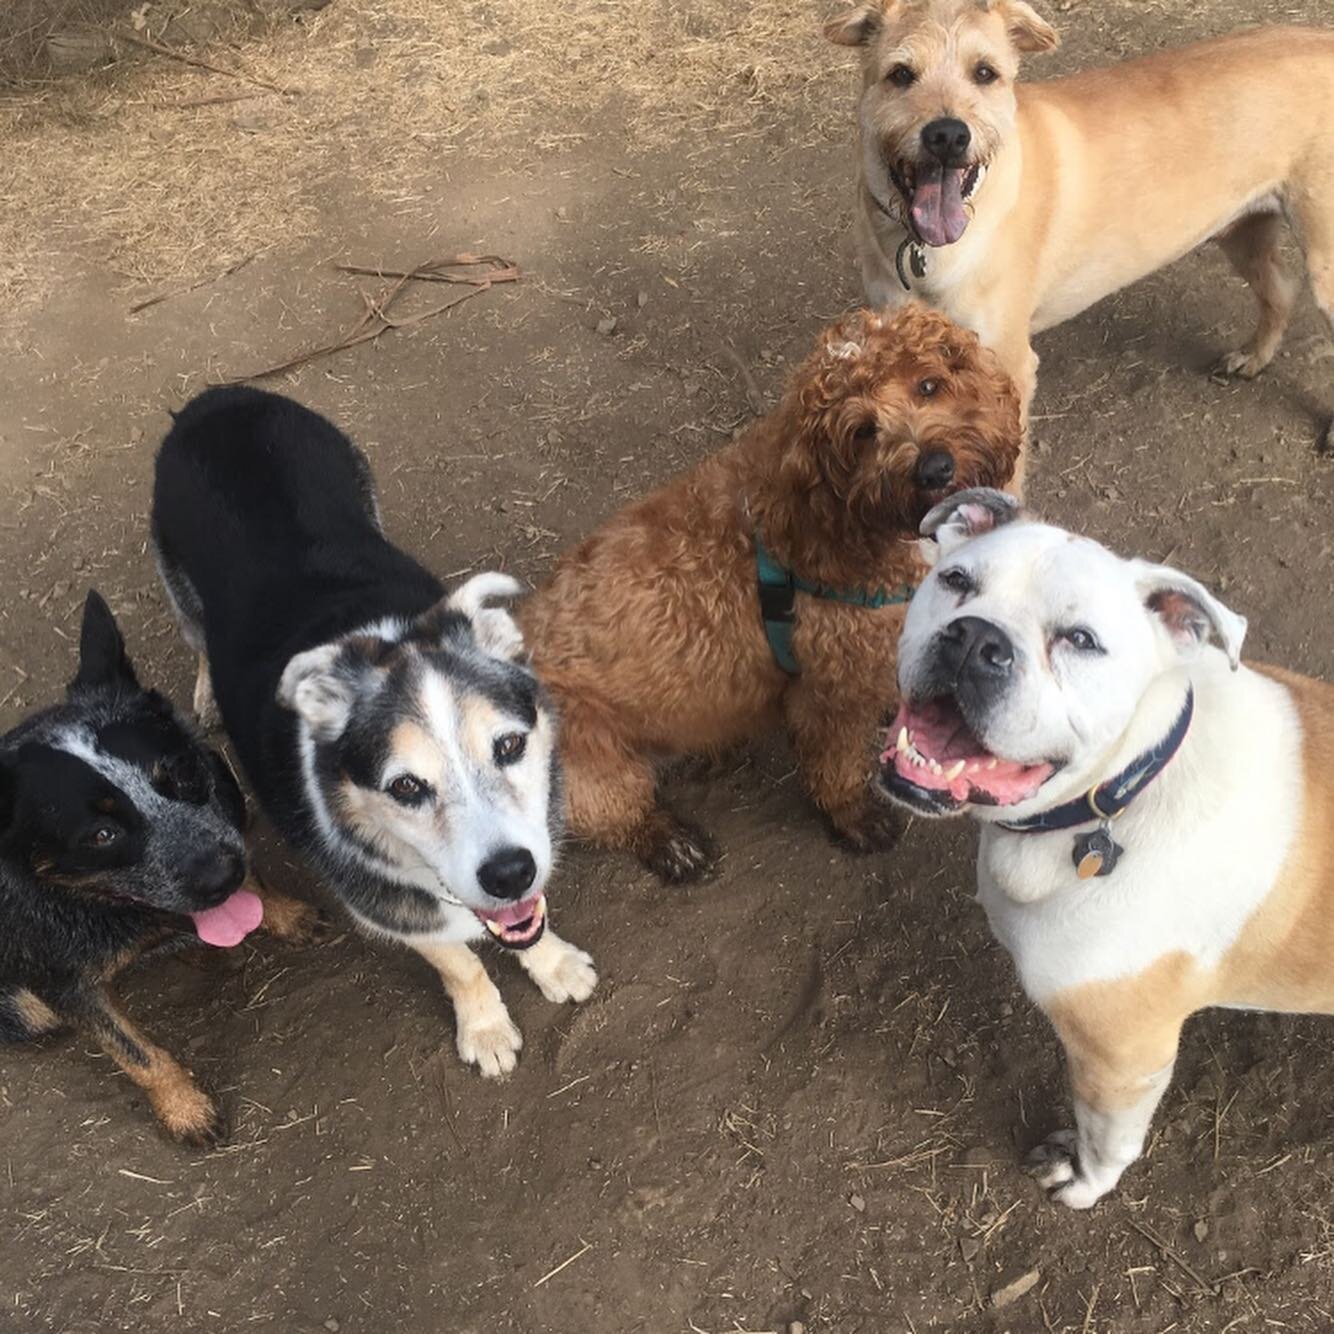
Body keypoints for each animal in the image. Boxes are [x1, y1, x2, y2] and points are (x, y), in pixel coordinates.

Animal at [0, 594, 320, 1147]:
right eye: (101, 835)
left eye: (181, 773)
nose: (221, 877)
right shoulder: (62, 986)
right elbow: (136, 1054)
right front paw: (184, 1109)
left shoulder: (221, 806)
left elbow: (256, 878)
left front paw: (285, 914)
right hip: (26, 1011)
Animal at [520, 305, 1019, 880]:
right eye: (862, 432)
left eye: (930, 384)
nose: (934, 468)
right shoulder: (827, 696)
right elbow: (836, 768)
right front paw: (855, 820)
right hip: (592, 766)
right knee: (617, 817)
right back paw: (671, 843)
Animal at [827, 0, 1328, 448]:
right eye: (901, 74)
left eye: (985, 73)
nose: (948, 135)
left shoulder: (1008, 365)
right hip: (1243, 232)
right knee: (1281, 291)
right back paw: (1254, 358)